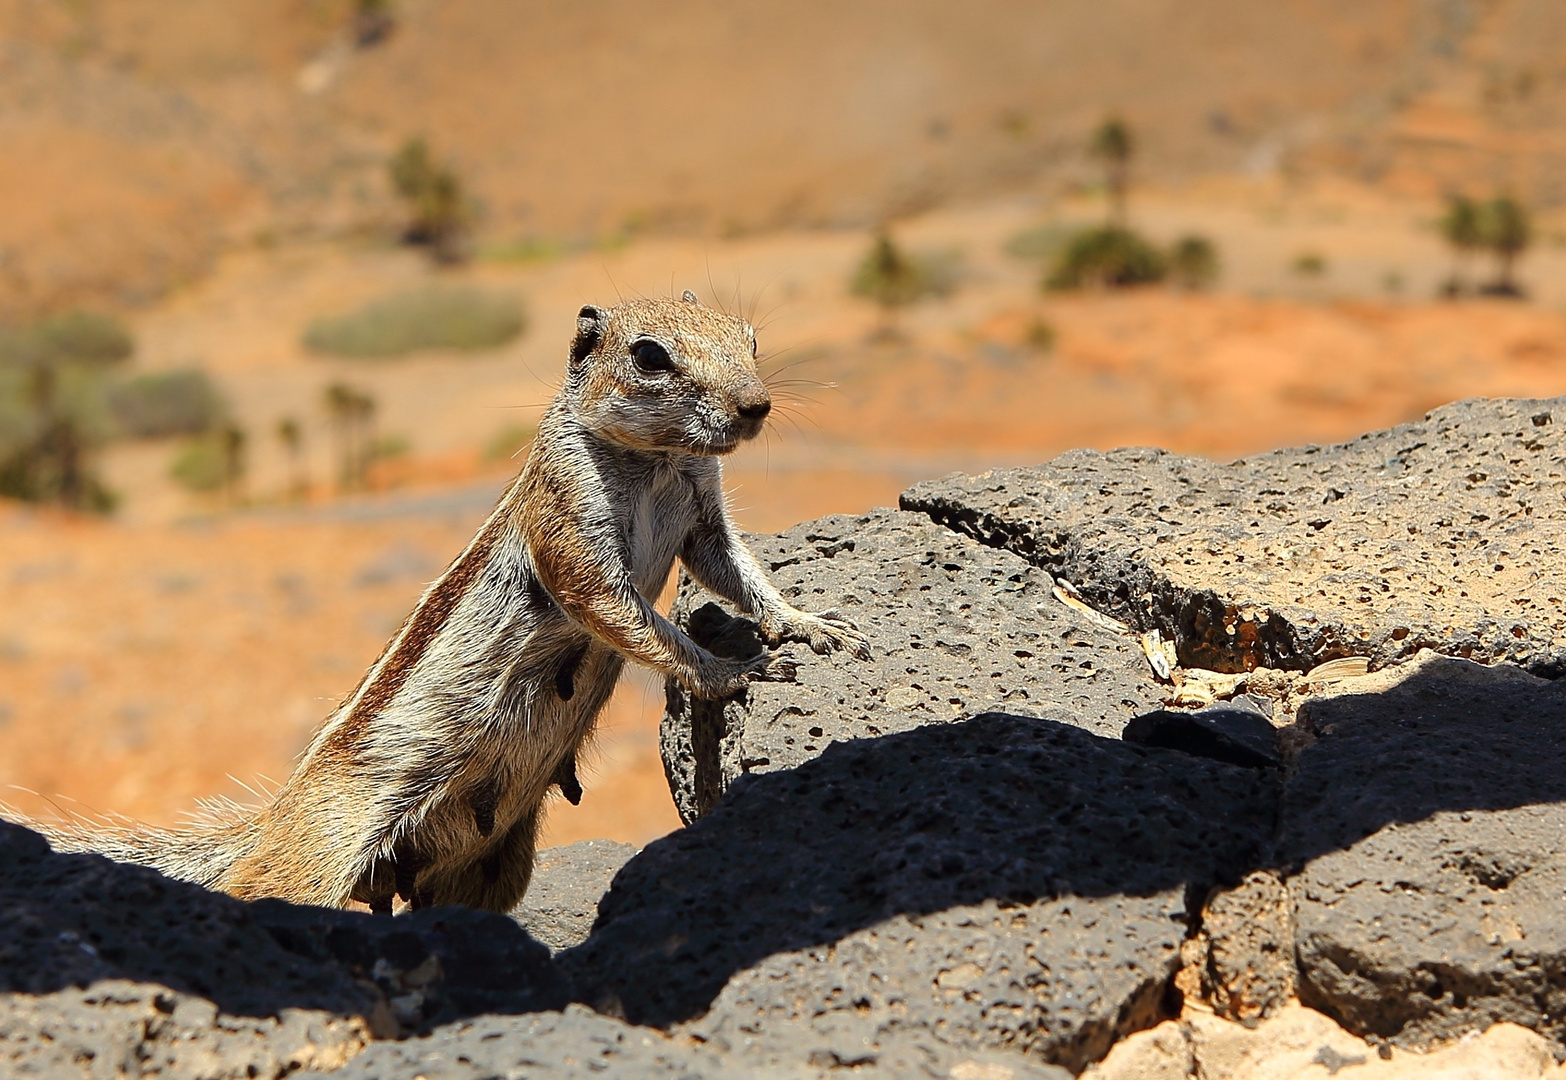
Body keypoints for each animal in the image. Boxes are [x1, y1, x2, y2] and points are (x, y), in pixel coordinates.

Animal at [21, 292, 870, 907]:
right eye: (651, 355)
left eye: (749, 337)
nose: (756, 406)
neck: (658, 460)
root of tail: (272, 821)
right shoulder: (570, 524)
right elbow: (627, 616)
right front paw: (733, 671)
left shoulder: (702, 513)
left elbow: (736, 569)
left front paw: (813, 626)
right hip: (316, 859)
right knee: (262, 891)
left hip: (489, 865)